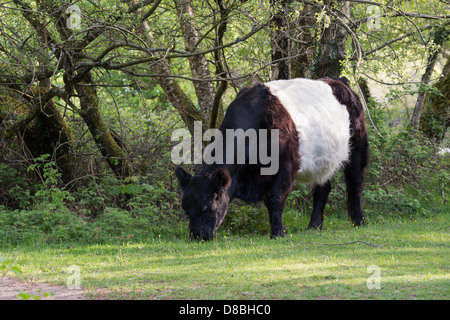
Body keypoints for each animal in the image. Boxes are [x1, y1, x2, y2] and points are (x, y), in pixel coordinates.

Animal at [176, 77, 370, 240]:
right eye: (185, 208)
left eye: (206, 207)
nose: (197, 237)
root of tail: (338, 81)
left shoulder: (287, 165)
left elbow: (275, 199)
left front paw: (277, 233)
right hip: (322, 161)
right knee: (322, 189)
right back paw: (315, 225)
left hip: (357, 146)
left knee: (355, 183)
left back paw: (358, 221)